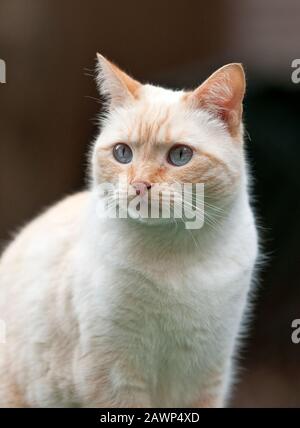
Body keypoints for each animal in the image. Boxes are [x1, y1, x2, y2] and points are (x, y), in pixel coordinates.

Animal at [0, 54, 258, 408]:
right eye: (123, 153)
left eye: (180, 155)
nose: (139, 184)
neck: (174, 253)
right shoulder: (114, 375)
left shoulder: (208, 374)